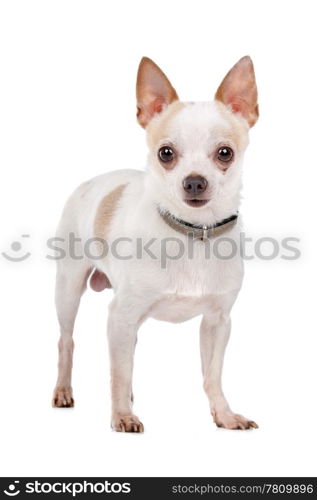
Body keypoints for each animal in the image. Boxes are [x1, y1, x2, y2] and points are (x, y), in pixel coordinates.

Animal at [51, 53, 258, 430]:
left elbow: (212, 375)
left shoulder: (218, 322)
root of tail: (91, 180)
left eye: (225, 153)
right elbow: (119, 372)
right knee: (67, 341)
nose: (194, 181)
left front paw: (224, 415)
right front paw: (121, 416)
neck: (192, 233)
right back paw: (63, 391)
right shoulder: (120, 314)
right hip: (69, 290)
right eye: (166, 153)